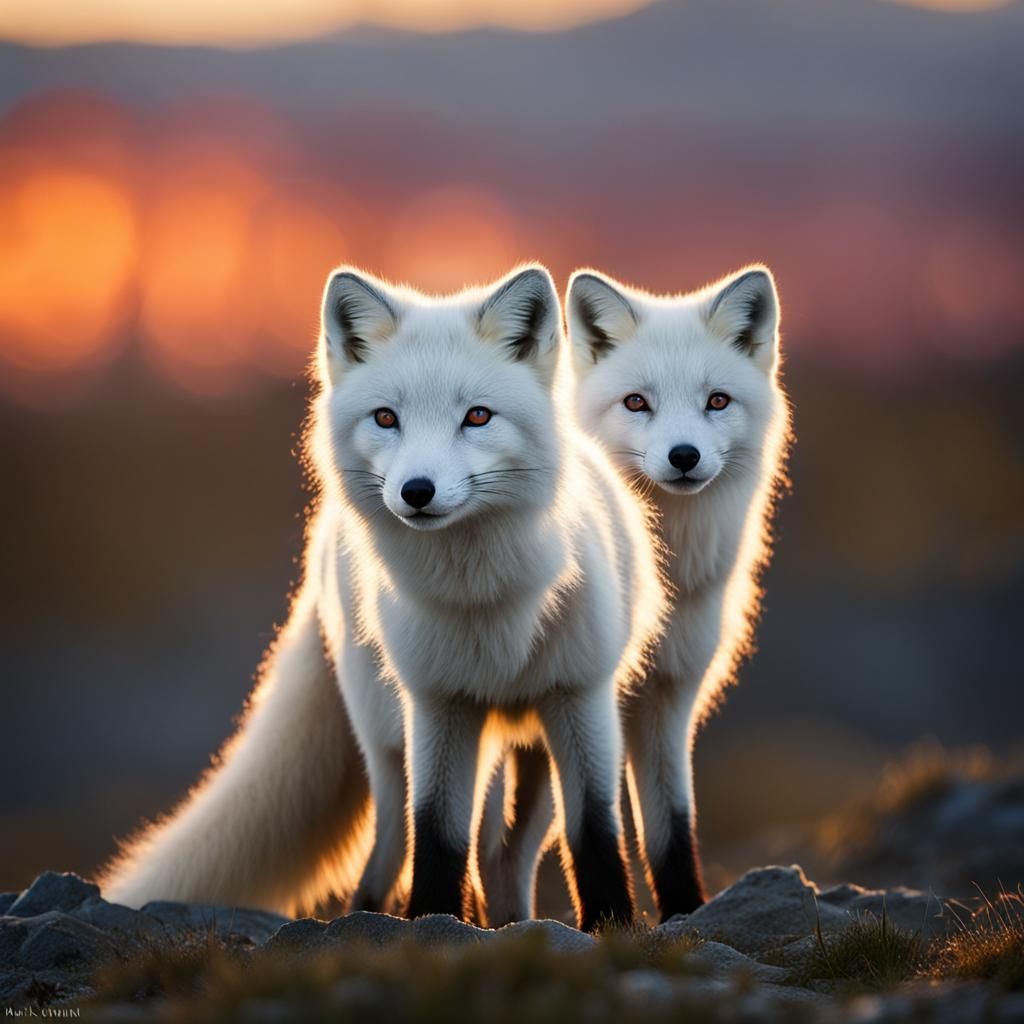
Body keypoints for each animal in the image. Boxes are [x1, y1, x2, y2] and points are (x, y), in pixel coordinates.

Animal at [103, 264, 667, 932]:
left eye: (478, 417)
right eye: (386, 418)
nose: (416, 491)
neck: (485, 605)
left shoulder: (581, 699)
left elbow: (596, 834)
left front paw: (612, 924)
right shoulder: (437, 705)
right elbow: (438, 837)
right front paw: (433, 921)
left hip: (528, 756)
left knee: (505, 851)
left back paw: (507, 919)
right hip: (388, 737)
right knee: (397, 844)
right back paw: (380, 914)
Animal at [565, 265, 792, 921]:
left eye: (716, 400)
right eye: (637, 402)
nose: (684, 456)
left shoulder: (669, 692)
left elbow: (672, 824)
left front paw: (686, 912)